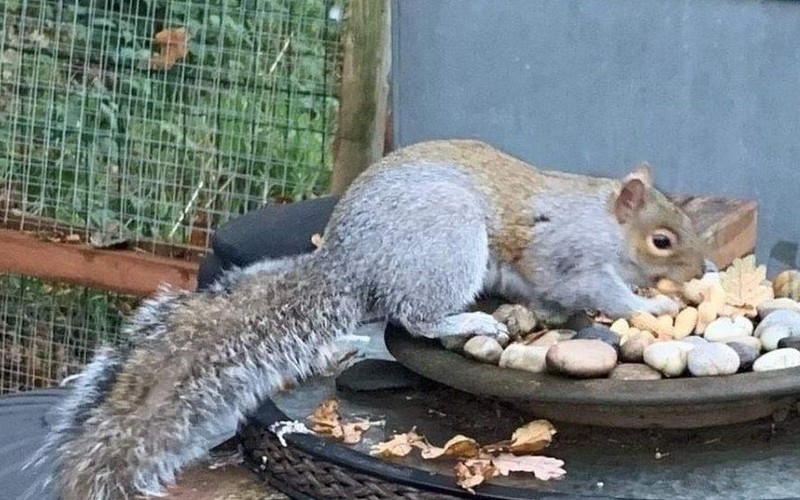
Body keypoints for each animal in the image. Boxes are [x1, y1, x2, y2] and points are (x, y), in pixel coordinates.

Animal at [25, 138, 704, 500]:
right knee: (416, 316)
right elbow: (596, 289)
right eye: (663, 240)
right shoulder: (566, 254)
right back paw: (470, 325)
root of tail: (350, 264)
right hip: (445, 244)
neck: (603, 219)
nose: (700, 271)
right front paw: (654, 307)